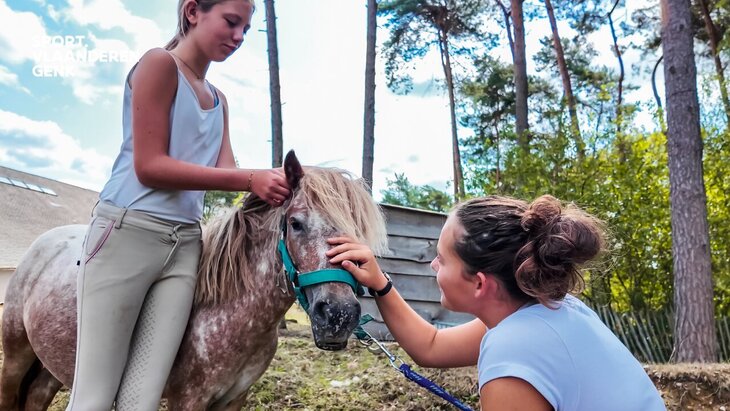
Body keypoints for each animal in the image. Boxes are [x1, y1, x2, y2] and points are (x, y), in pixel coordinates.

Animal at [0, 151, 388, 410]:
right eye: (295, 223)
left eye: (359, 235)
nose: (338, 315)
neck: (227, 314)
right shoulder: (188, 399)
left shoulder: (234, 399)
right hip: (16, 356)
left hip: (55, 365)